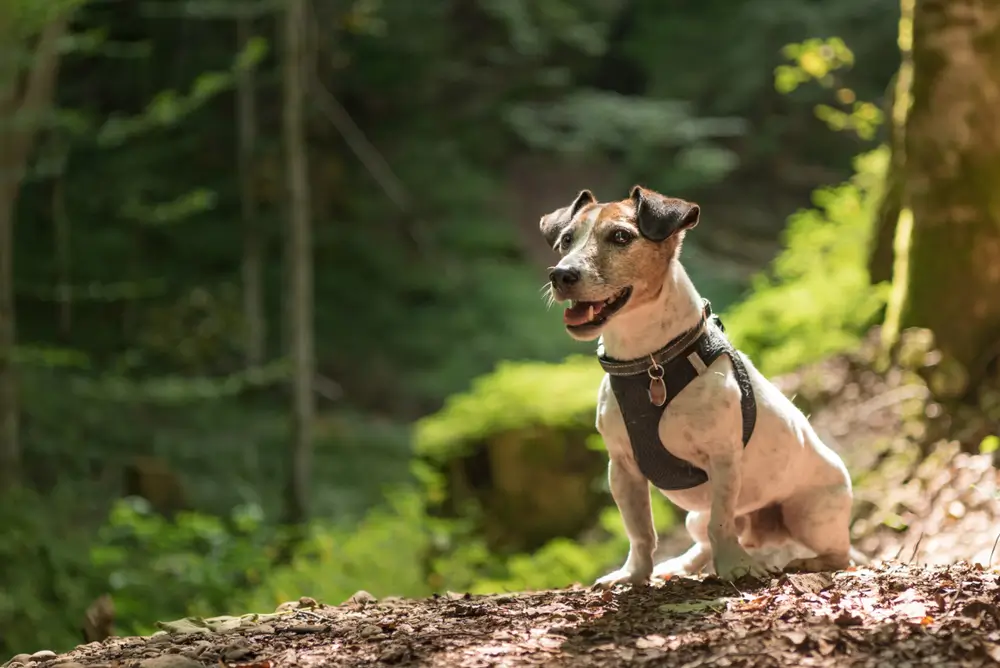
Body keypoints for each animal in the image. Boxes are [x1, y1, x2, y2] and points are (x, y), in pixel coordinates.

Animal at [540, 187, 860, 584]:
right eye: (567, 240)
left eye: (620, 237)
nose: (561, 274)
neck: (651, 363)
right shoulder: (623, 468)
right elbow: (640, 530)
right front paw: (634, 574)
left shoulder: (722, 459)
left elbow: (721, 524)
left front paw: (735, 566)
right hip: (695, 516)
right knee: (706, 539)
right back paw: (682, 564)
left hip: (808, 513)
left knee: (840, 554)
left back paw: (804, 562)